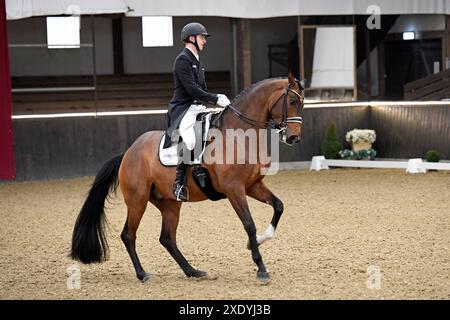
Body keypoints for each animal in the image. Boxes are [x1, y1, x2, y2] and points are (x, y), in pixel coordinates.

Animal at [72, 73, 306, 282]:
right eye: (292, 101)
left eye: (302, 104)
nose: (293, 138)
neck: (239, 136)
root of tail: (128, 153)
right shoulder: (234, 189)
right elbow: (249, 224)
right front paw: (261, 267)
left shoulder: (252, 185)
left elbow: (279, 206)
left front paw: (258, 241)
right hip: (137, 200)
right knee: (129, 235)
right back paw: (143, 274)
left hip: (170, 204)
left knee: (167, 239)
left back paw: (192, 271)